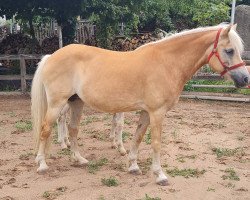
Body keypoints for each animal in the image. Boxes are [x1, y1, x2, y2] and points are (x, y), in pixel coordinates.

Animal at [31, 24, 250, 186]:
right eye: (229, 50)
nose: (245, 79)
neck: (166, 63)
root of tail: (51, 56)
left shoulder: (146, 112)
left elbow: (137, 138)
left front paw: (133, 166)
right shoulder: (157, 113)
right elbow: (156, 143)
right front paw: (160, 175)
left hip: (76, 102)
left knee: (73, 129)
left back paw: (79, 159)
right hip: (57, 104)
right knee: (45, 129)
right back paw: (42, 164)